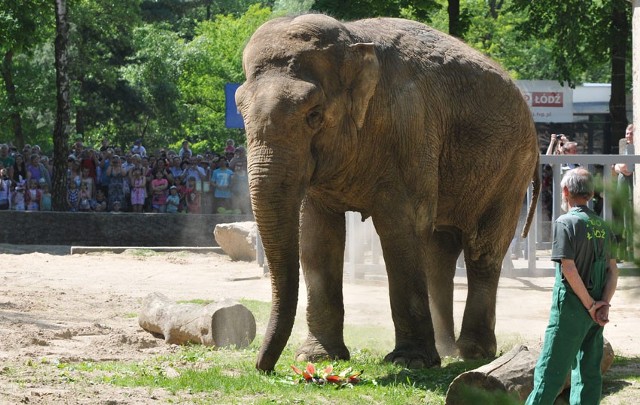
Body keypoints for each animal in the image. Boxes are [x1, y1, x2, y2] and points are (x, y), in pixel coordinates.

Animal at [235, 14, 540, 370]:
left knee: (483, 248)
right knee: (440, 252)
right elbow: (317, 236)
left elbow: (402, 229)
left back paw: (473, 353)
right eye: (240, 112)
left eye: (314, 115)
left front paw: (410, 362)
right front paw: (320, 357)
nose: (263, 367)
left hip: (512, 169)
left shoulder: (411, 128)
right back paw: (447, 350)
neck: (353, 40)